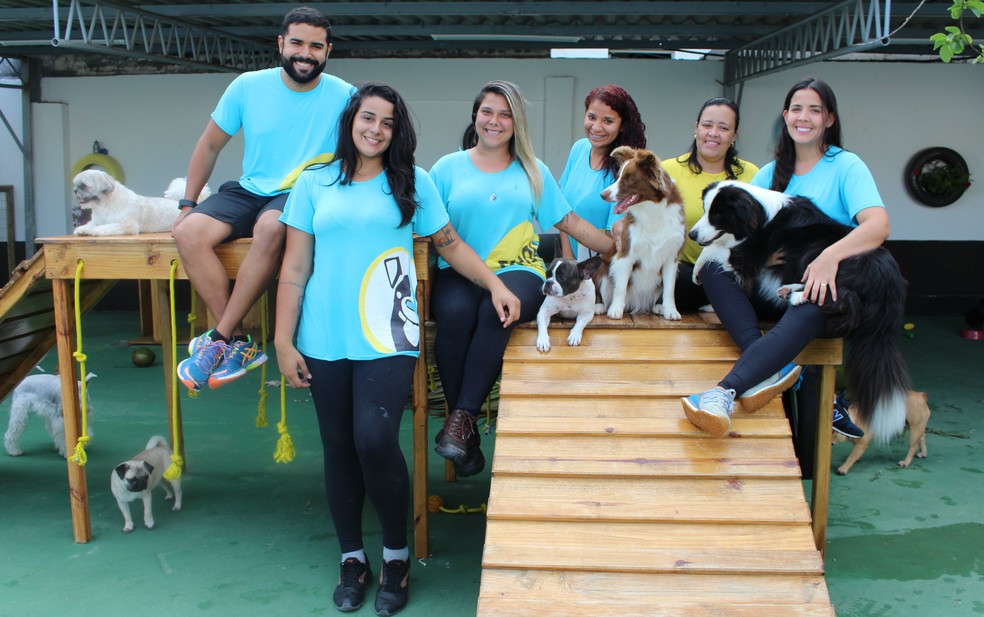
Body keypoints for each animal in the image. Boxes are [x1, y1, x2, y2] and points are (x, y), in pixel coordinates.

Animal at [73, 168, 211, 236]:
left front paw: (94, 231)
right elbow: (91, 225)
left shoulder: (127, 225)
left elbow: (105, 227)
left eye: (84, 186)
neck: (104, 205)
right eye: (75, 185)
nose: (75, 190)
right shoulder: (97, 220)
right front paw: (83, 230)